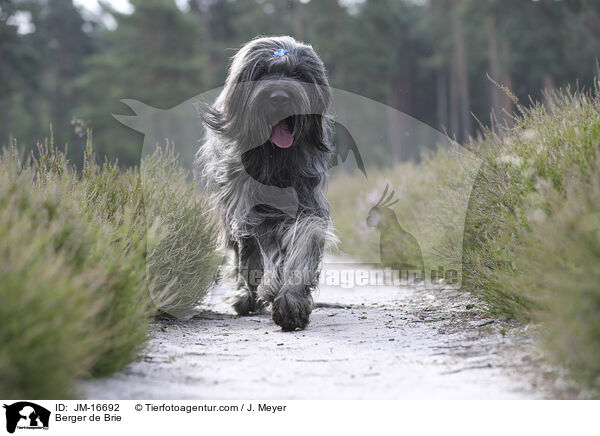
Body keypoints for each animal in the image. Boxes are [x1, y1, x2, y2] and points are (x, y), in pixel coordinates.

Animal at [198, 36, 336, 330]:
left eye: (298, 74)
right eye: (261, 73)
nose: (280, 98)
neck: (275, 161)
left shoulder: (306, 201)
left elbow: (305, 237)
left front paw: (291, 300)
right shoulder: (253, 212)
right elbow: (265, 250)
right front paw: (272, 291)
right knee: (241, 254)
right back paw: (245, 296)